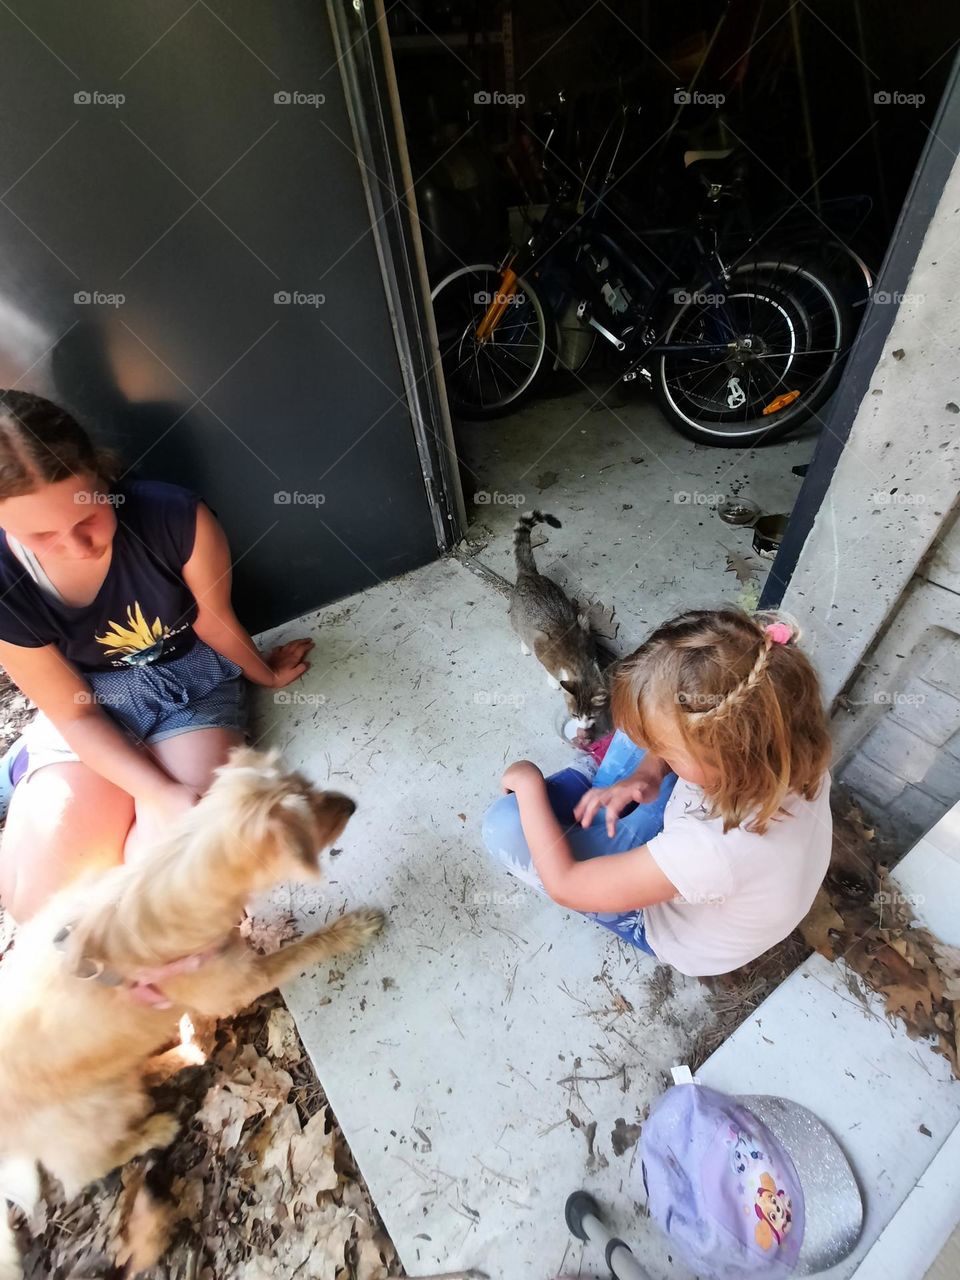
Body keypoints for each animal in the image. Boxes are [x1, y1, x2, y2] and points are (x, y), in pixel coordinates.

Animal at [0, 747, 384, 1274]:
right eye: (314, 813)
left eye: (310, 785)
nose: (351, 804)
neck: (168, 872)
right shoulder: (238, 980)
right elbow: (301, 950)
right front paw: (350, 930)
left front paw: (198, 1033)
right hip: (98, 1112)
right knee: (85, 1167)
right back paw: (155, 1126)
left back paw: (176, 1059)